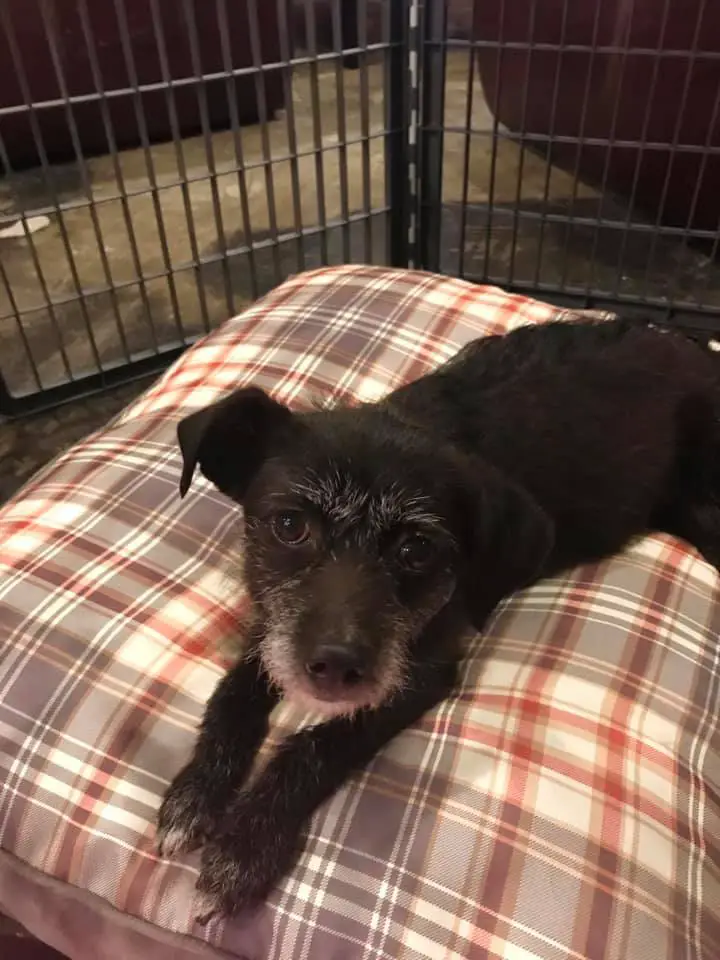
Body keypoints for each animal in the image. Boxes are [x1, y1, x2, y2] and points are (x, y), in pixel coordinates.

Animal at [156, 316, 720, 916]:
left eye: (417, 550)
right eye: (290, 525)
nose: (335, 666)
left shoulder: (421, 668)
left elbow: (320, 743)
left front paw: (246, 843)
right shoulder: (274, 630)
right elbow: (231, 696)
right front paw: (196, 790)